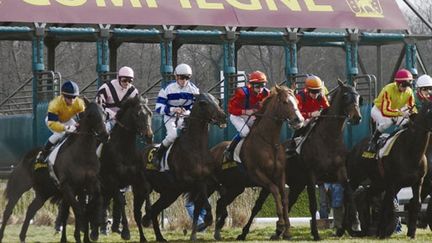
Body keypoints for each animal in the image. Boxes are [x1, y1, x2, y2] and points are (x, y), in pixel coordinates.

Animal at [0, 99, 109, 243]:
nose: (105, 135)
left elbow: (93, 204)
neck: (82, 154)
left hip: (44, 192)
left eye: (104, 113)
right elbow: (78, 210)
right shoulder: (68, 186)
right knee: (8, 210)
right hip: (20, 187)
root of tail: (24, 158)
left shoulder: (88, 184)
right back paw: (2, 235)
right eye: (91, 115)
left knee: (31, 209)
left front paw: (90, 234)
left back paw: (22, 237)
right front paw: (80, 236)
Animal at [139, 92, 228, 241]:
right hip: (146, 187)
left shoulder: (208, 178)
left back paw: (159, 236)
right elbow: (204, 201)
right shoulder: (189, 182)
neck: (196, 148)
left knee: (156, 210)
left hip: (169, 193)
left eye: (217, 101)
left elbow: (219, 192)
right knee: (148, 208)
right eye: (204, 103)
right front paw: (207, 219)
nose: (223, 116)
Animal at [208, 85, 304, 239]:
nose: (299, 120)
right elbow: (275, 192)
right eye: (285, 102)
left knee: (220, 202)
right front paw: (280, 225)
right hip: (211, 184)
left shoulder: (279, 175)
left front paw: (287, 230)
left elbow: (284, 197)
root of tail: (212, 150)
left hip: (235, 187)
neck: (269, 142)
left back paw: (217, 232)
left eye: (297, 101)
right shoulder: (257, 175)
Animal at [235, 80, 362, 241]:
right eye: (345, 96)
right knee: (259, 205)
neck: (328, 139)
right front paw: (315, 233)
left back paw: (279, 231)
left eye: (358, 96)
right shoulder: (311, 175)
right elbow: (313, 204)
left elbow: (350, 194)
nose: (357, 117)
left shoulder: (340, 172)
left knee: (288, 203)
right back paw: (245, 232)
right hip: (272, 181)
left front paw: (354, 224)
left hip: (296, 185)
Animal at [346, 101, 432, 239]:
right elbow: (388, 206)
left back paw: (367, 225)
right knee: (349, 195)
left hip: (378, 183)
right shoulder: (393, 184)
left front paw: (411, 234)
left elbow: (415, 204)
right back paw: (351, 226)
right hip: (356, 177)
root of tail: (354, 149)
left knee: (366, 195)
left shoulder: (418, 182)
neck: (411, 151)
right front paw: (382, 232)